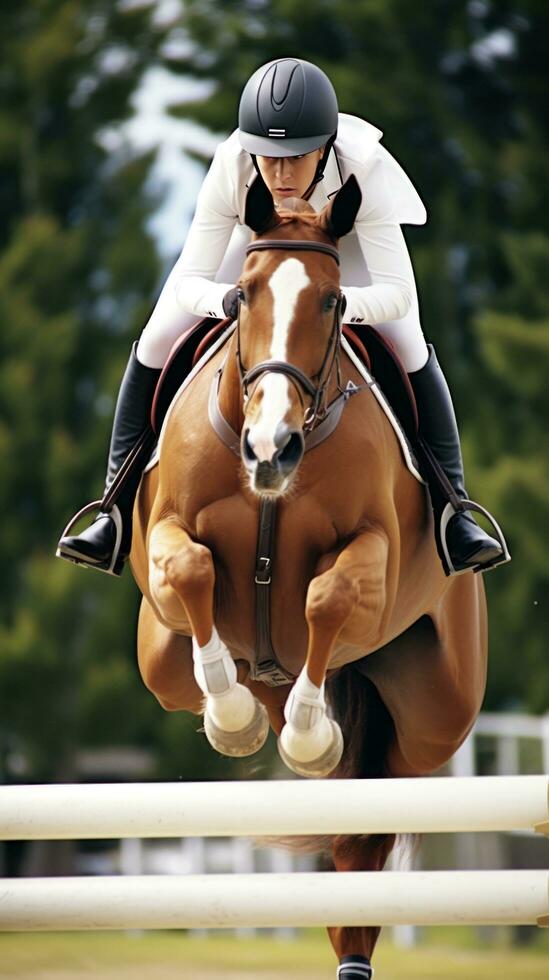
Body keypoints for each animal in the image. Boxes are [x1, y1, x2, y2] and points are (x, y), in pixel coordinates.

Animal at [130, 176, 488, 964]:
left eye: (331, 300)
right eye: (243, 295)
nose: (271, 448)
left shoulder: (373, 550)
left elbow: (328, 597)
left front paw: (308, 738)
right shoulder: (169, 532)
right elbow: (190, 568)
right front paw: (232, 720)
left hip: (437, 716)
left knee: (375, 804)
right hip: (161, 661)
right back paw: (245, 709)